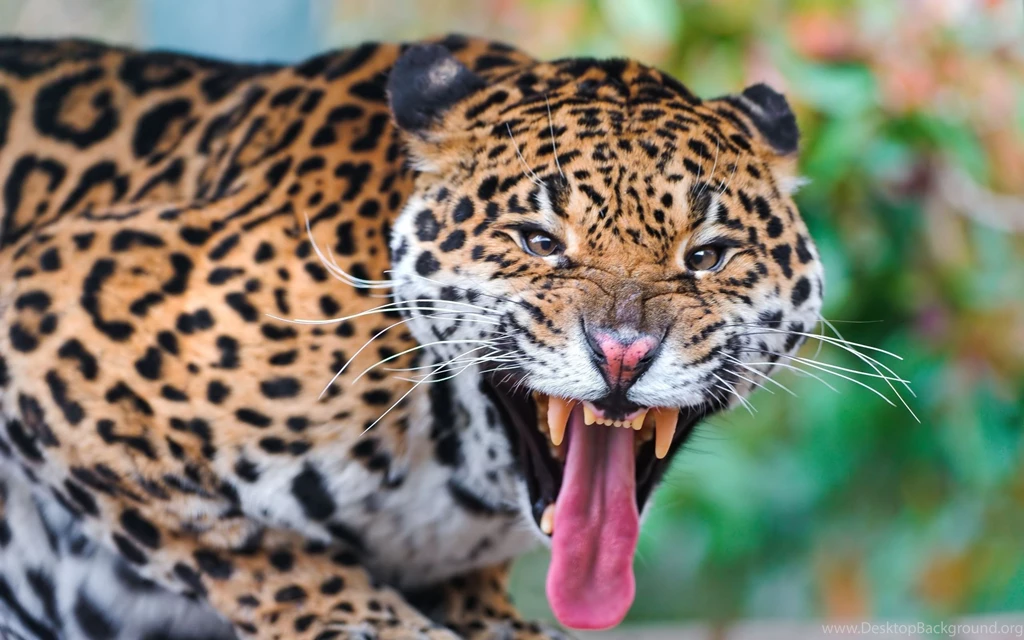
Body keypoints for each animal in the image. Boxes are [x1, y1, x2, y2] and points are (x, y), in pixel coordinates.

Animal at [0, 34, 824, 639]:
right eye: (538, 243)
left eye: (707, 256)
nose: (624, 353)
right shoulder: (47, 301)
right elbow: (241, 546)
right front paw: (368, 621)